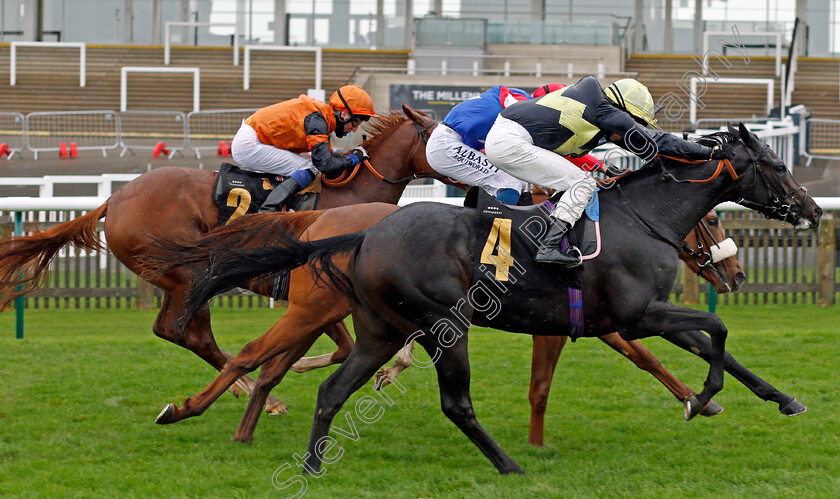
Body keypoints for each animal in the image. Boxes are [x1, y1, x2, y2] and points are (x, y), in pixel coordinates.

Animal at [0, 105, 440, 414]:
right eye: (442, 136)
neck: (349, 198)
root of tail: (117, 197)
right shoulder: (316, 289)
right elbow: (346, 347)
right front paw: (298, 369)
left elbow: (362, 345)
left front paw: (387, 369)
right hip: (190, 273)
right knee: (186, 333)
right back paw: (252, 395)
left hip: (174, 278)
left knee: (171, 330)